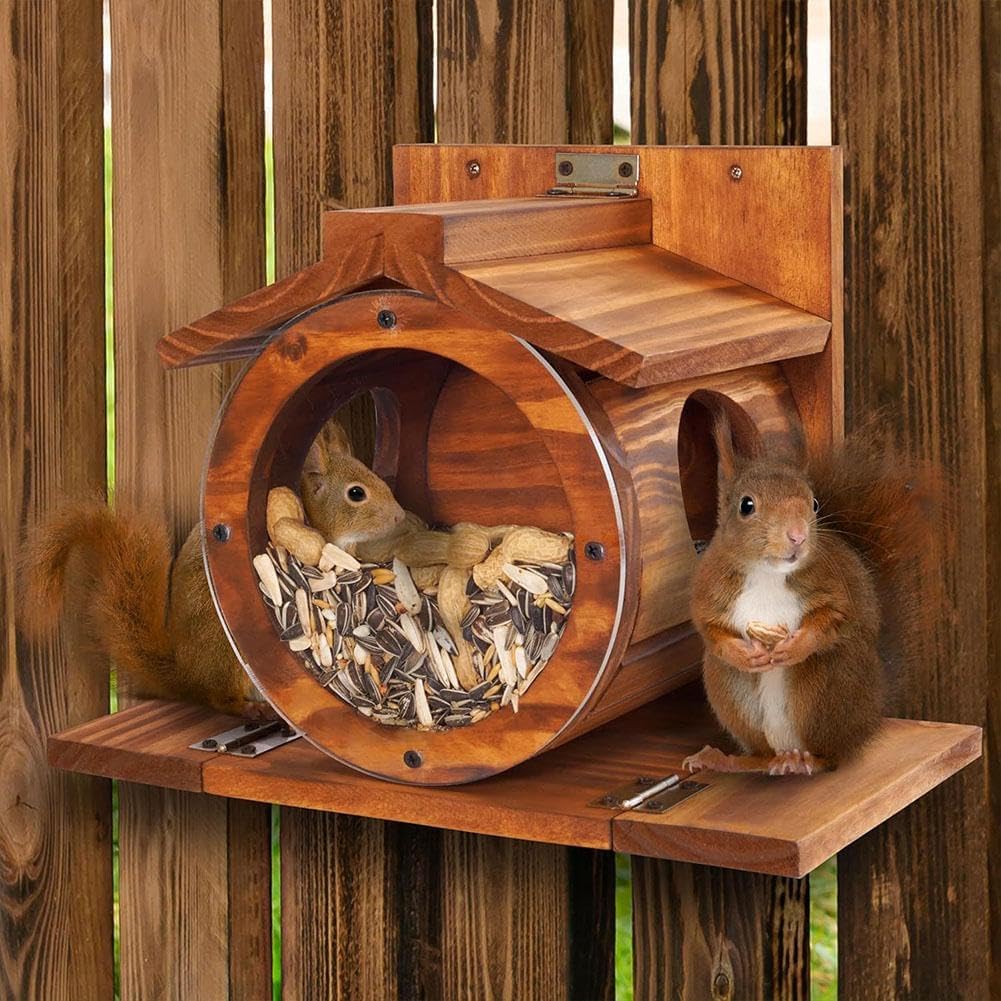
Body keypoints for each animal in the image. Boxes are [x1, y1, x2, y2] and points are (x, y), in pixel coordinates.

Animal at [22, 420, 405, 717]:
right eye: (356, 493)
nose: (399, 516)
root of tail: (188, 676)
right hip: (227, 653)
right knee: (220, 699)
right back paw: (251, 709)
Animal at [683, 408, 938, 777]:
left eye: (814, 504)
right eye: (747, 505)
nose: (798, 535)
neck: (768, 574)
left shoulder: (835, 586)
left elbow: (834, 617)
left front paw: (795, 646)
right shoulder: (709, 590)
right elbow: (710, 629)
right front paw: (743, 653)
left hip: (828, 687)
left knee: (832, 755)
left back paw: (807, 760)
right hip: (728, 689)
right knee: (760, 756)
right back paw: (726, 760)